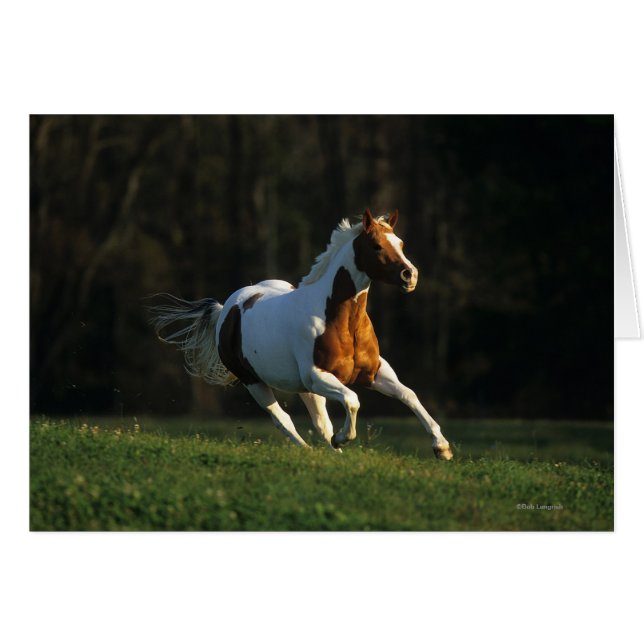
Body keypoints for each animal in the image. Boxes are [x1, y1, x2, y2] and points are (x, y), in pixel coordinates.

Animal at [149, 209, 453, 460]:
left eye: (400, 244)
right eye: (377, 246)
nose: (409, 275)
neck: (341, 322)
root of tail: (227, 309)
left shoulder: (374, 372)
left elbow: (408, 395)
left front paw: (442, 448)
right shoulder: (317, 375)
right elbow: (352, 400)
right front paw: (343, 439)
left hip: (305, 389)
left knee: (320, 422)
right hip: (255, 382)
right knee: (282, 419)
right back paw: (311, 450)